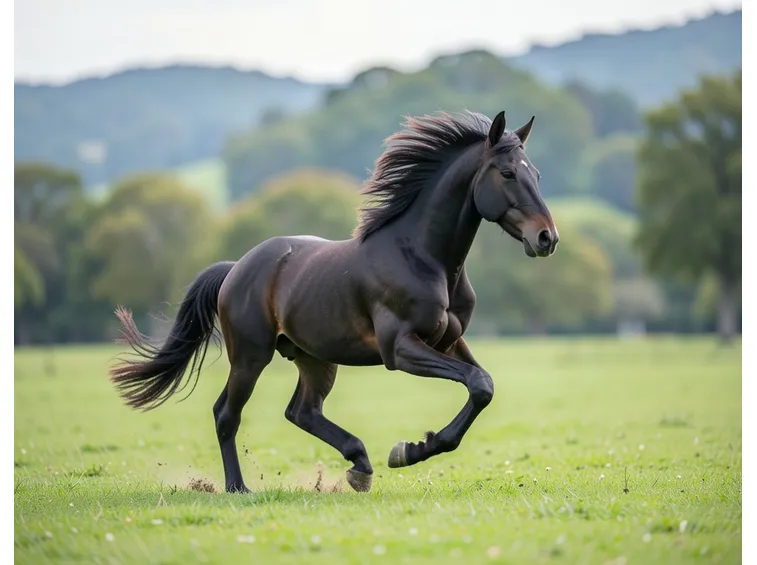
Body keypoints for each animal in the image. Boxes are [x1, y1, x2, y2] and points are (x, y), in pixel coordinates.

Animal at [110, 110, 559, 494]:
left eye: (536, 173)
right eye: (506, 173)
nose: (547, 238)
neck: (423, 257)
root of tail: (236, 268)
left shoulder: (449, 342)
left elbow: (482, 386)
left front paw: (411, 449)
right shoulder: (400, 349)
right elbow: (478, 383)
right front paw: (411, 449)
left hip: (314, 358)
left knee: (302, 412)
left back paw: (360, 465)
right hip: (251, 356)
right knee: (227, 414)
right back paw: (238, 488)